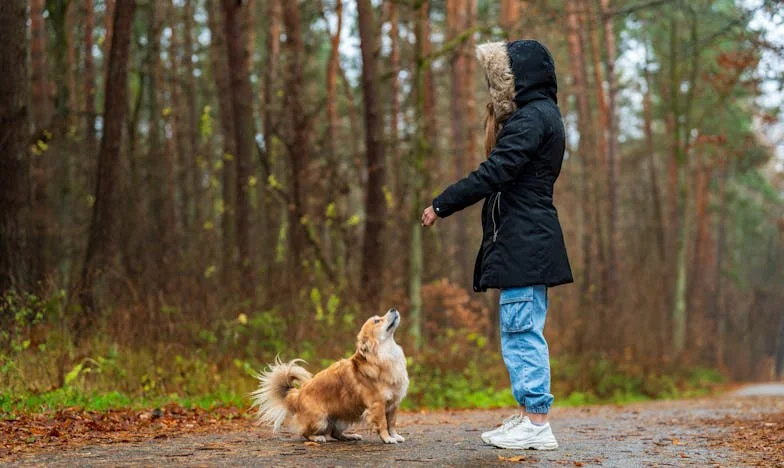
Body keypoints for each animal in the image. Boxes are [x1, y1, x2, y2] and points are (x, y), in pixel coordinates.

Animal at [251, 308, 410, 442]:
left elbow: (392, 423)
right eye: (377, 321)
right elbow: (383, 424)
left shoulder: (394, 404)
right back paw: (317, 438)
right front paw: (387, 438)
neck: (386, 353)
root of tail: (297, 395)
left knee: (335, 433)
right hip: (321, 419)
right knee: (304, 433)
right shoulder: (377, 405)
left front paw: (395, 436)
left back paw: (350, 436)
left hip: (343, 418)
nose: (393, 309)